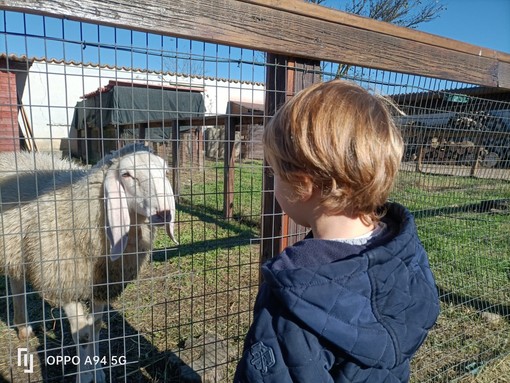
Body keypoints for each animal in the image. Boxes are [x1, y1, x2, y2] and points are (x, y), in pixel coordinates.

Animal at [0, 144, 178, 383]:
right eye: (126, 174)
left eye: (165, 172)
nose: (165, 213)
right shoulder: (65, 282)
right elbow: (82, 333)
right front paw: (84, 375)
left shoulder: (102, 285)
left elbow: (95, 327)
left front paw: (99, 372)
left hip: (16, 249)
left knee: (16, 280)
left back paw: (22, 327)